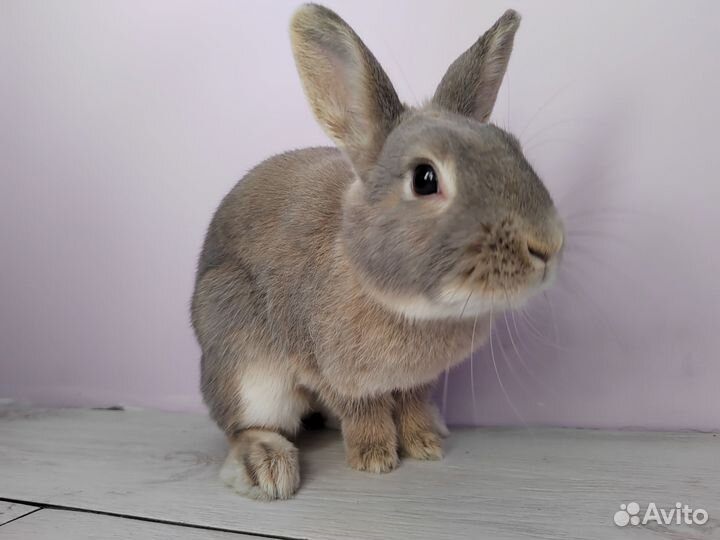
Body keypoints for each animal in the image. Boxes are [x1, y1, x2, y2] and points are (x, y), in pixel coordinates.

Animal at [191, 3, 564, 501]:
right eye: (425, 178)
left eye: (513, 149)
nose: (548, 245)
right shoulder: (330, 369)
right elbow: (362, 409)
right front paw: (374, 457)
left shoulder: (414, 381)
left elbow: (411, 403)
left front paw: (424, 443)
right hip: (241, 360)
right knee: (243, 424)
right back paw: (265, 466)